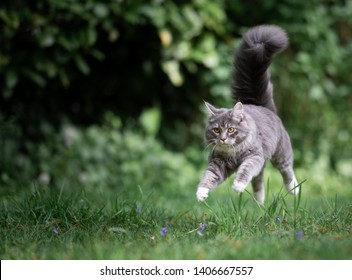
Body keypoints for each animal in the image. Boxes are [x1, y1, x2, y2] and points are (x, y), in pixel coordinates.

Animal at [197, 25, 298, 203]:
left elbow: (245, 170)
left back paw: (293, 189)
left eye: (230, 129)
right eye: (217, 130)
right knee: (258, 180)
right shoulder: (217, 163)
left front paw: (238, 186)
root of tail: (261, 105)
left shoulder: (254, 157)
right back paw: (259, 201)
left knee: (286, 169)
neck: (232, 154)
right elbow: (208, 176)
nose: (223, 138)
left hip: (280, 152)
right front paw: (201, 193)